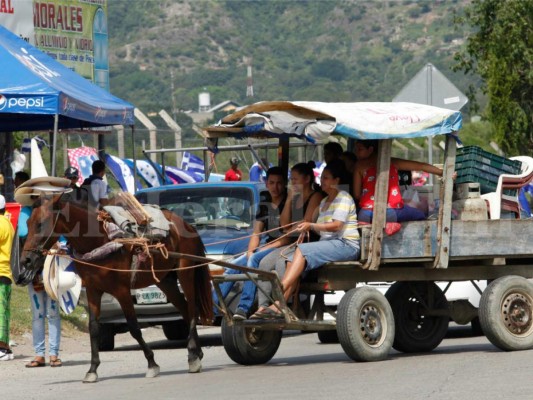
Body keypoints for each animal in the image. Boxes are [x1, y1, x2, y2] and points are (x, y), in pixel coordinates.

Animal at [18, 192, 214, 382]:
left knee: (192, 309)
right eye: (27, 223)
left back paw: (193, 356)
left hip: (185, 273)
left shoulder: (122, 291)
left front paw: (152, 363)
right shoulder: (93, 290)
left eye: (41, 224)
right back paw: (196, 353)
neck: (99, 241)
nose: (25, 260)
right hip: (165, 280)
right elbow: (94, 329)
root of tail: (186, 225)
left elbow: (134, 327)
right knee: (185, 309)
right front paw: (92, 369)